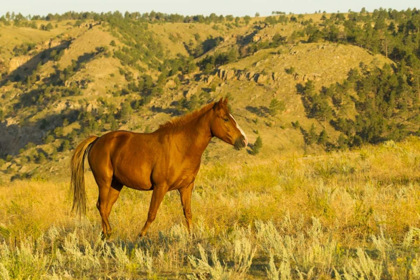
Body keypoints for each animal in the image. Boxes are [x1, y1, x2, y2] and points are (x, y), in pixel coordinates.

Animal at [70, 97, 248, 237]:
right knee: (101, 206)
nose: (243, 141)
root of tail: (98, 140)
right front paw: (141, 236)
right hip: (104, 182)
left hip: (116, 185)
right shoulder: (160, 187)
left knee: (105, 208)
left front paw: (192, 236)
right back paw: (109, 234)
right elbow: (152, 213)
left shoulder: (186, 187)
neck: (182, 147)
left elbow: (188, 213)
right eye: (225, 119)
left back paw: (106, 235)